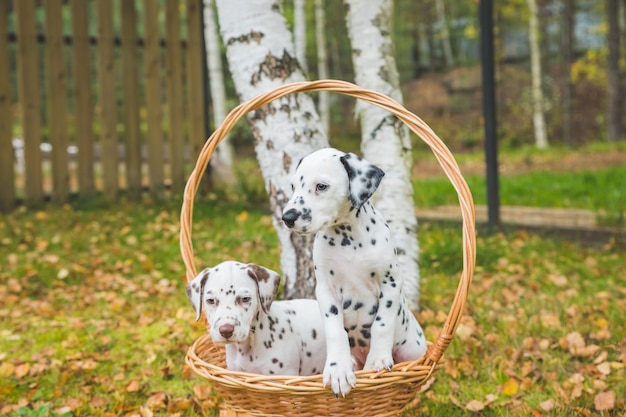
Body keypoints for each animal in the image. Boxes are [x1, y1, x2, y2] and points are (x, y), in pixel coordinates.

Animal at [280, 147, 426, 396]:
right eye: (293, 186)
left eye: (321, 186)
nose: (287, 217)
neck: (347, 239)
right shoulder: (325, 292)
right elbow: (335, 331)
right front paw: (337, 370)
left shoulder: (390, 284)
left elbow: (382, 324)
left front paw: (378, 360)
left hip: (414, 350)